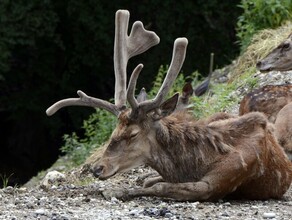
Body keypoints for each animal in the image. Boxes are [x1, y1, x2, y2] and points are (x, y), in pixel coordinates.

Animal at [46, 9, 292, 201]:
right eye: (114, 131)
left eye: (133, 134)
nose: (97, 168)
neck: (195, 162)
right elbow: (153, 182)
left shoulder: (218, 181)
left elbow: (161, 187)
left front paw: (117, 192)